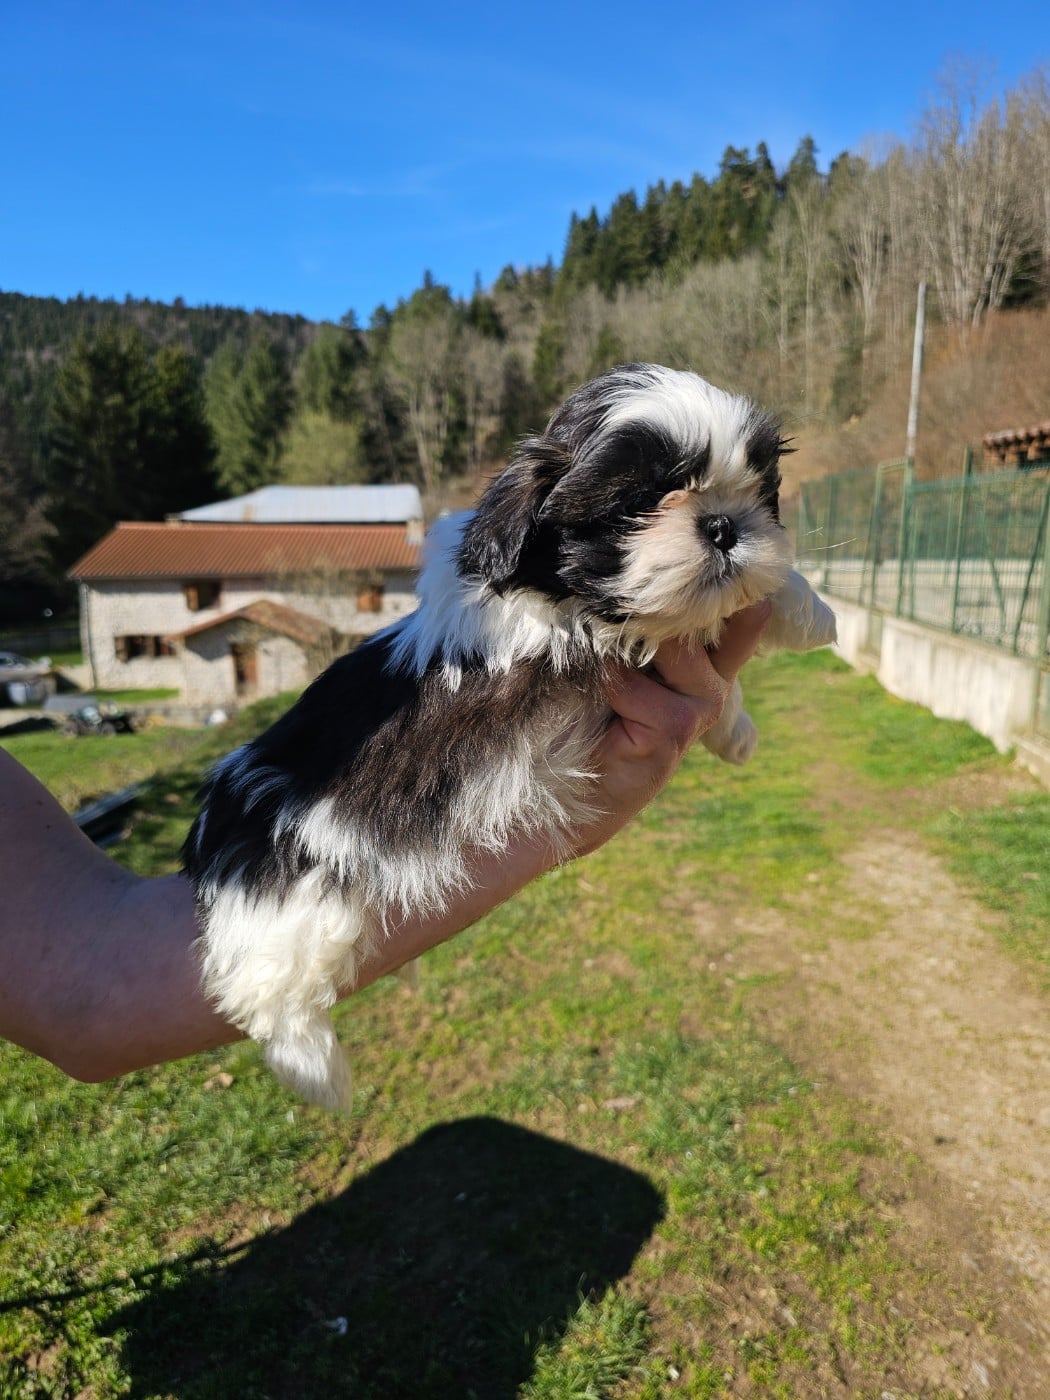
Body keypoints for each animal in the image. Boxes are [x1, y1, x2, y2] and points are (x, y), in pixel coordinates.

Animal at [184, 363, 836, 1108]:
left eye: (759, 488)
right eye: (640, 499)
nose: (723, 525)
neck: (543, 585)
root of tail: (210, 833)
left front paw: (746, 710)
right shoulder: (589, 635)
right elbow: (685, 621)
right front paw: (807, 617)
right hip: (300, 902)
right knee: (259, 992)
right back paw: (318, 1070)